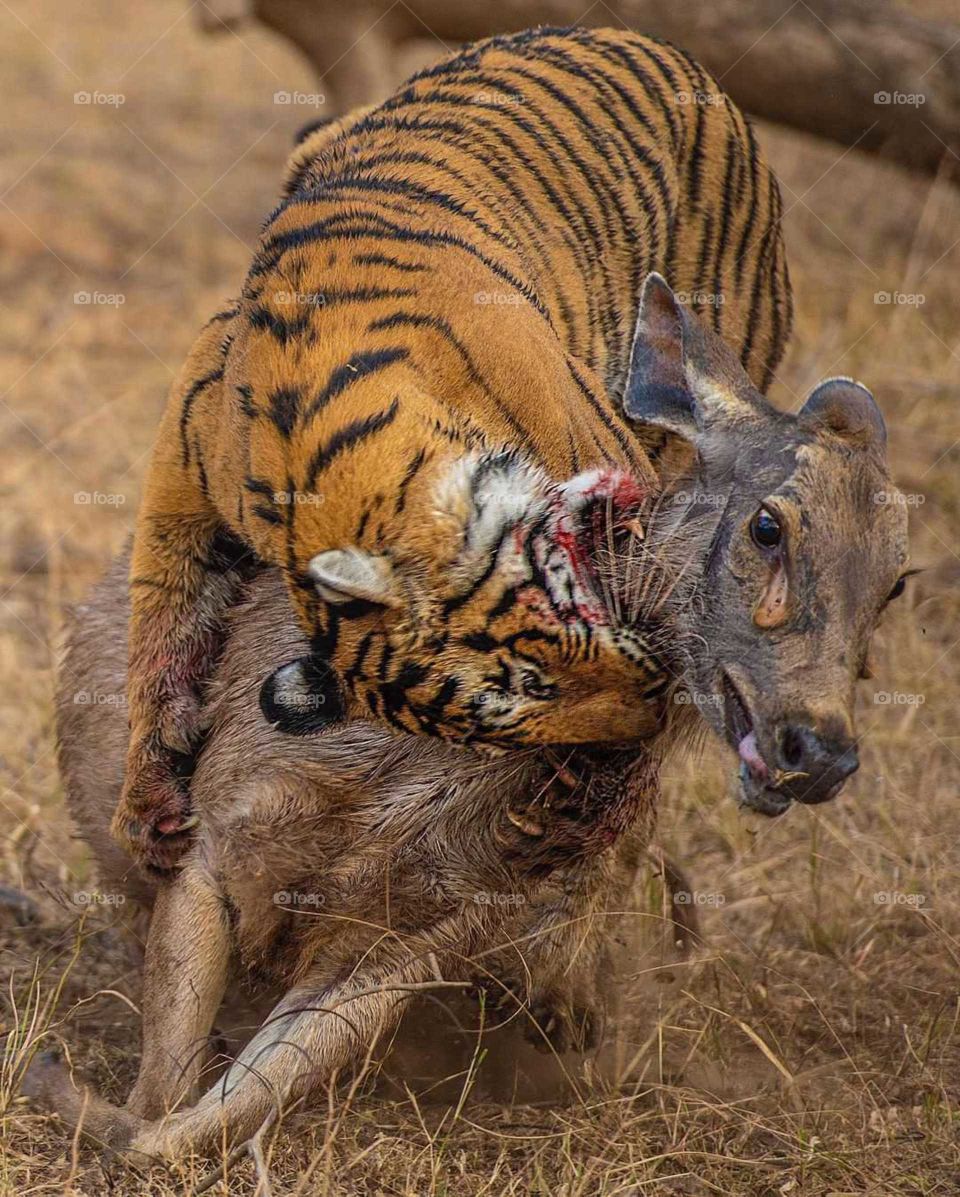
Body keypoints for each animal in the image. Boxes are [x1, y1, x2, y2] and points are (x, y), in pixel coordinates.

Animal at [114, 26, 792, 871]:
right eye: (503, 724)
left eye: (527, 682)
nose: (642, 711)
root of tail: (645, 41)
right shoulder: (188, 472)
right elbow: (163, 618)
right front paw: (149, 803)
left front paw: (588, 797)